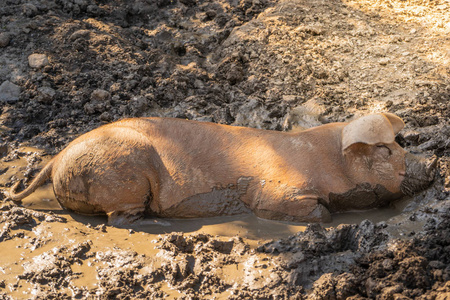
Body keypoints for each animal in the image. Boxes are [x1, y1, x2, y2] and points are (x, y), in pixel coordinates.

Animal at [7, 113, 436, 225]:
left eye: (401, 142)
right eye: (385, 149)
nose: (433, 163)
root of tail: (57, 157)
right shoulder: (277, 191)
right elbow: (314, 212)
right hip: (121, 169)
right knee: (121, 219)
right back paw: (159, 223)